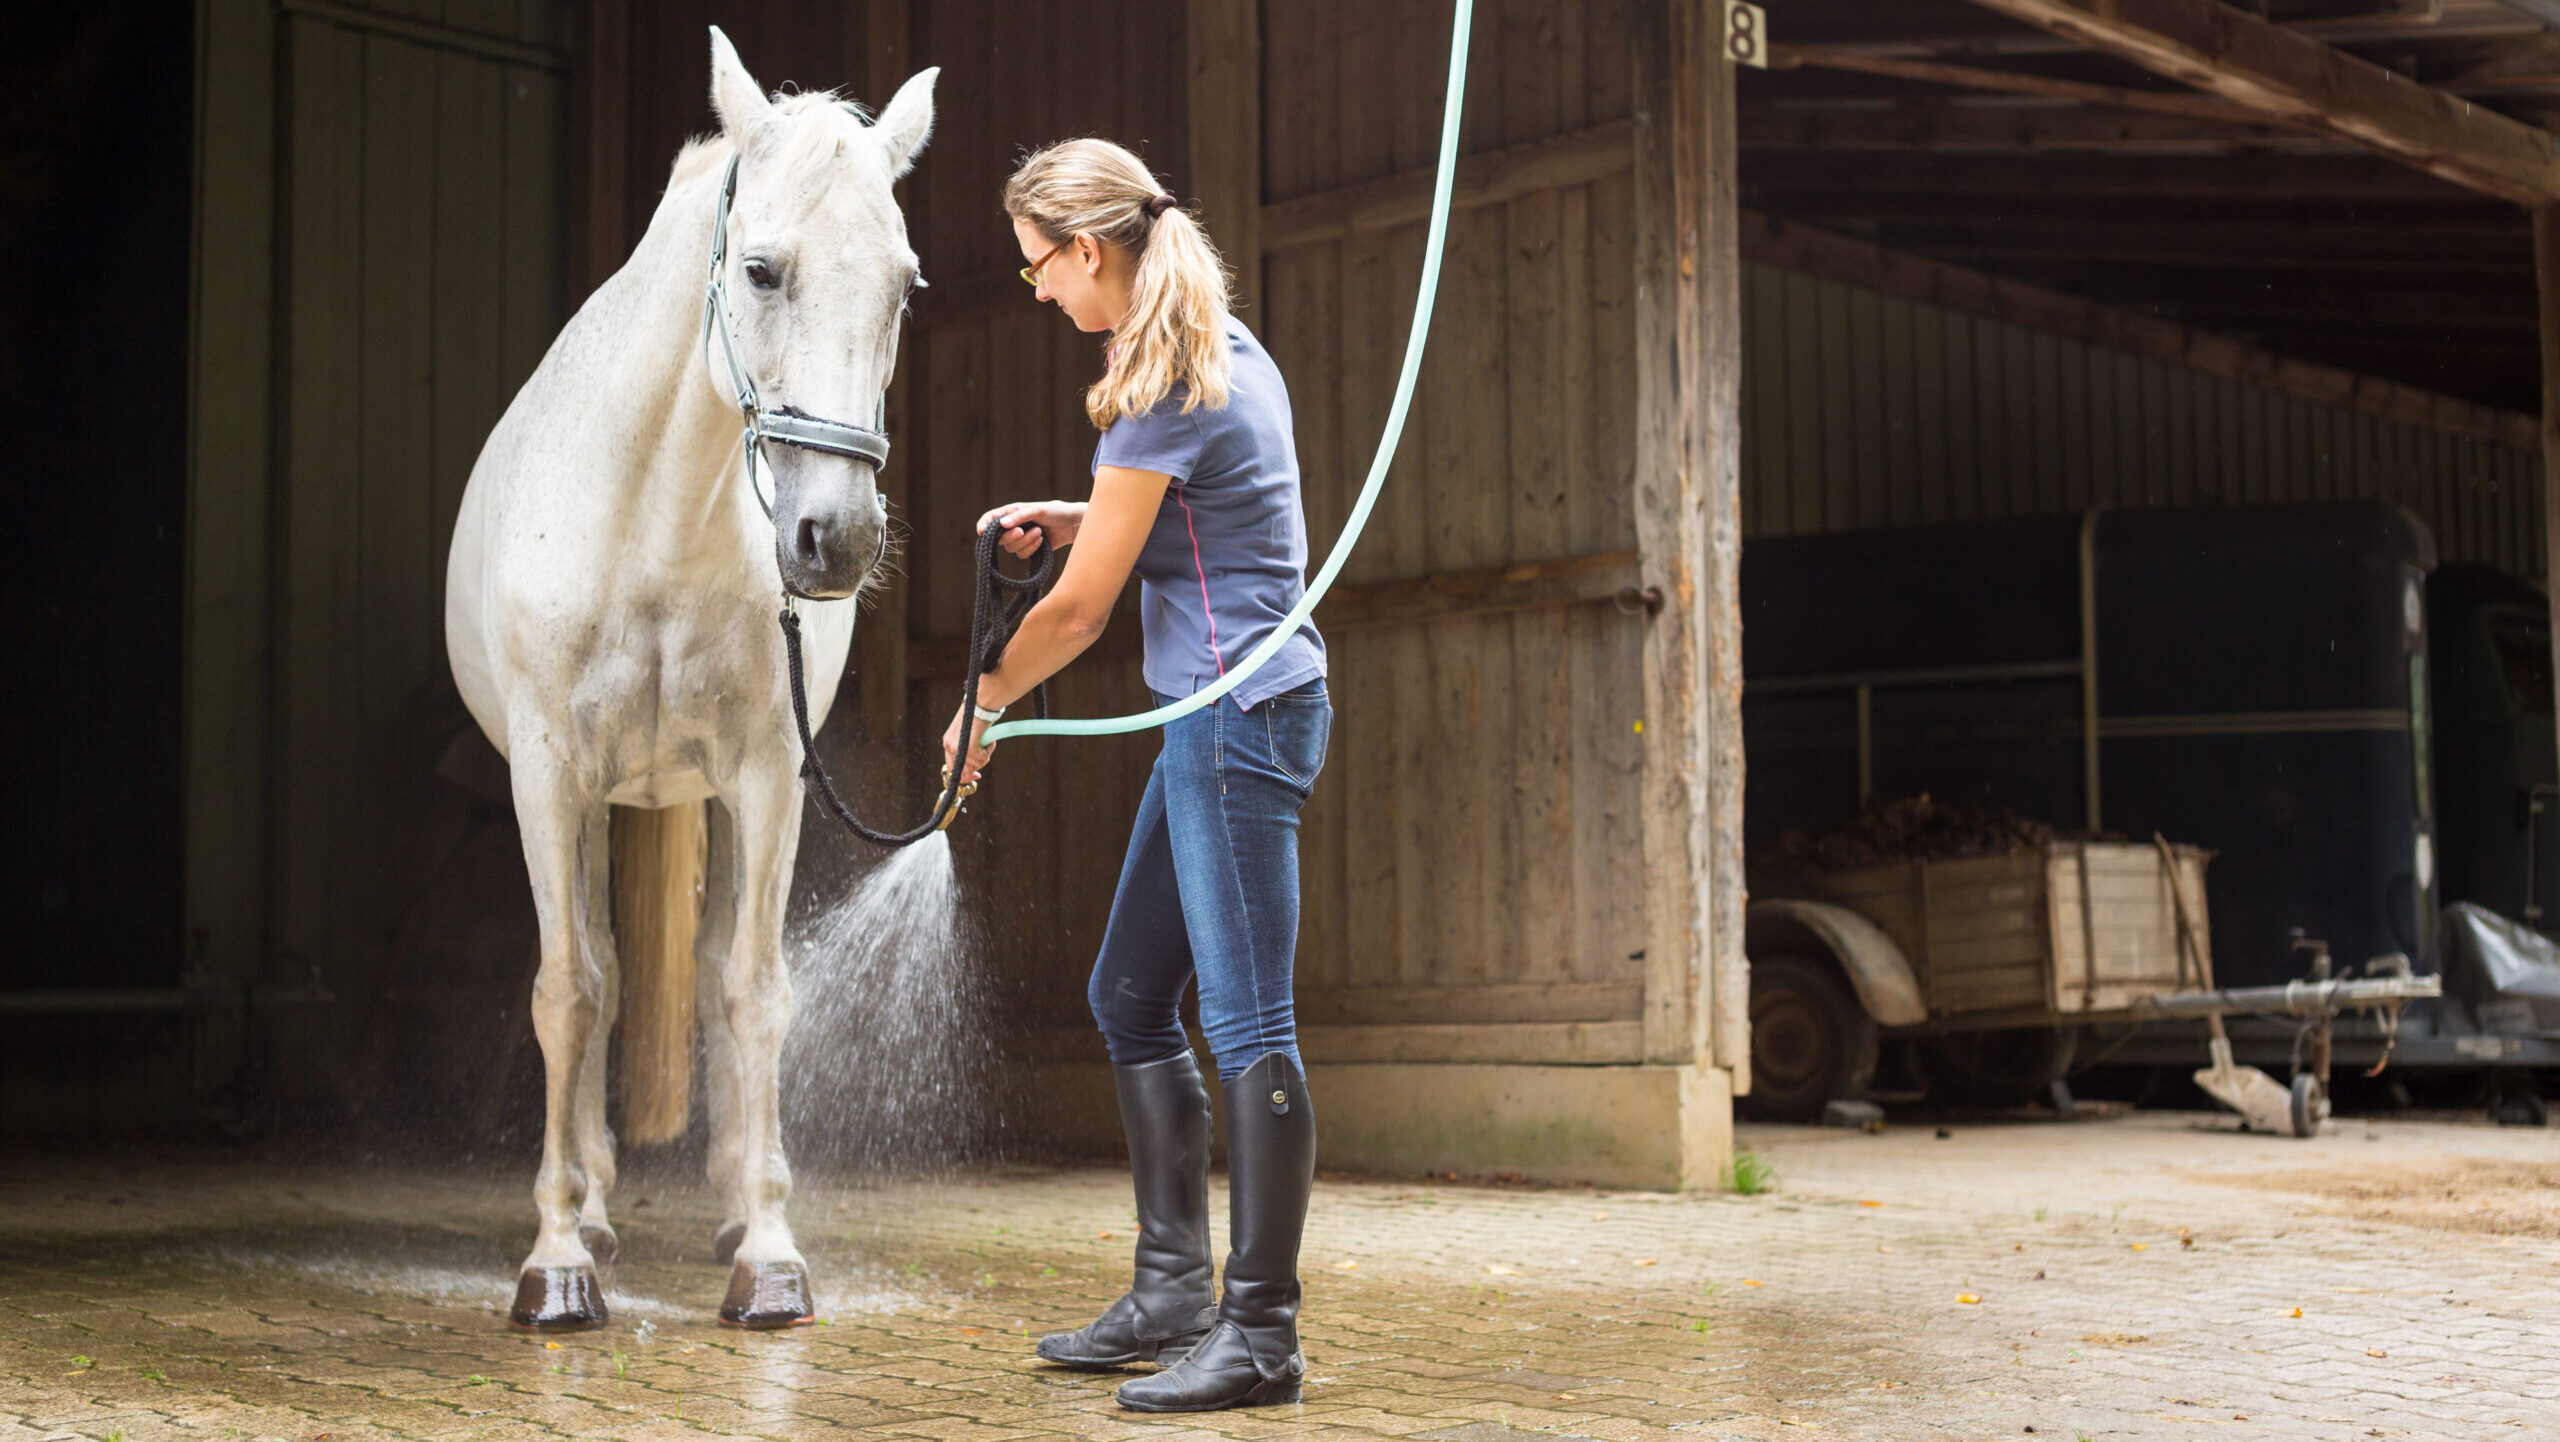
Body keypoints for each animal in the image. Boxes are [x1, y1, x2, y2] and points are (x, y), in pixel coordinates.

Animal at [444, 28, 935, 1330]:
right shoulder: (552, 778)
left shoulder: (765, 776)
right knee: (604, 980)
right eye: (761, 270)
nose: (835, 539)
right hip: (597, 806)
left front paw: (768, 1254)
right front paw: (557, 1260)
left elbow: (753, 990)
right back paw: (598, 1212)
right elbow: (569, 994)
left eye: (904, 286)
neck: (653, 522)